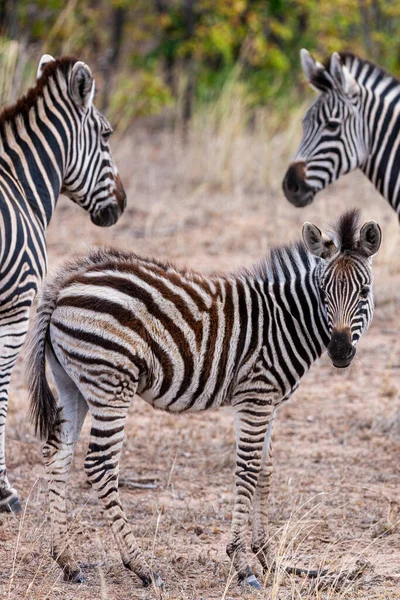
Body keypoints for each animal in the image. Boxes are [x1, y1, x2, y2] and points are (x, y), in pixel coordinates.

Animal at [26, 209, 380, 588]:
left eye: (364, 291)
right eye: (323, 292)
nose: (340, 351)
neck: (285, 321)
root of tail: (65, 283)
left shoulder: (269, 401)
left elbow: (266, 470)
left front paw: (268, 558)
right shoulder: (254, 395)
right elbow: (248, 469)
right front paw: (242, 563)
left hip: (72, 383)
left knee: (56, 454)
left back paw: (68, 562)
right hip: (110, 382)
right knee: (100, 465)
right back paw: (141, 567)